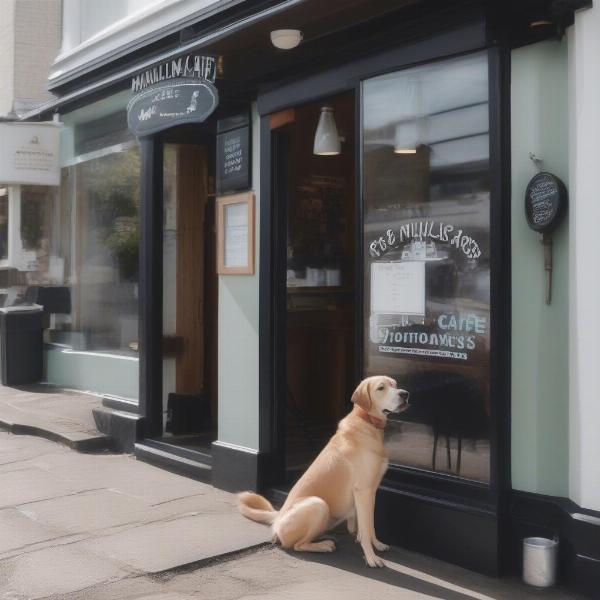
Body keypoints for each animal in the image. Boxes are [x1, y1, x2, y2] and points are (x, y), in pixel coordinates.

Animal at [237, 376, 410, 568]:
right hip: (318, 504)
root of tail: (277, 518)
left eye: (395, 385)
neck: (367, 422)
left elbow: (370, 526)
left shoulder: (371, 492)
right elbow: (365, 529)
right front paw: (371, 558)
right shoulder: (363, 491)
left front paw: (377, 545)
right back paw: (323, 545)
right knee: (298, 545)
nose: (405, 394)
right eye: (381, 388)